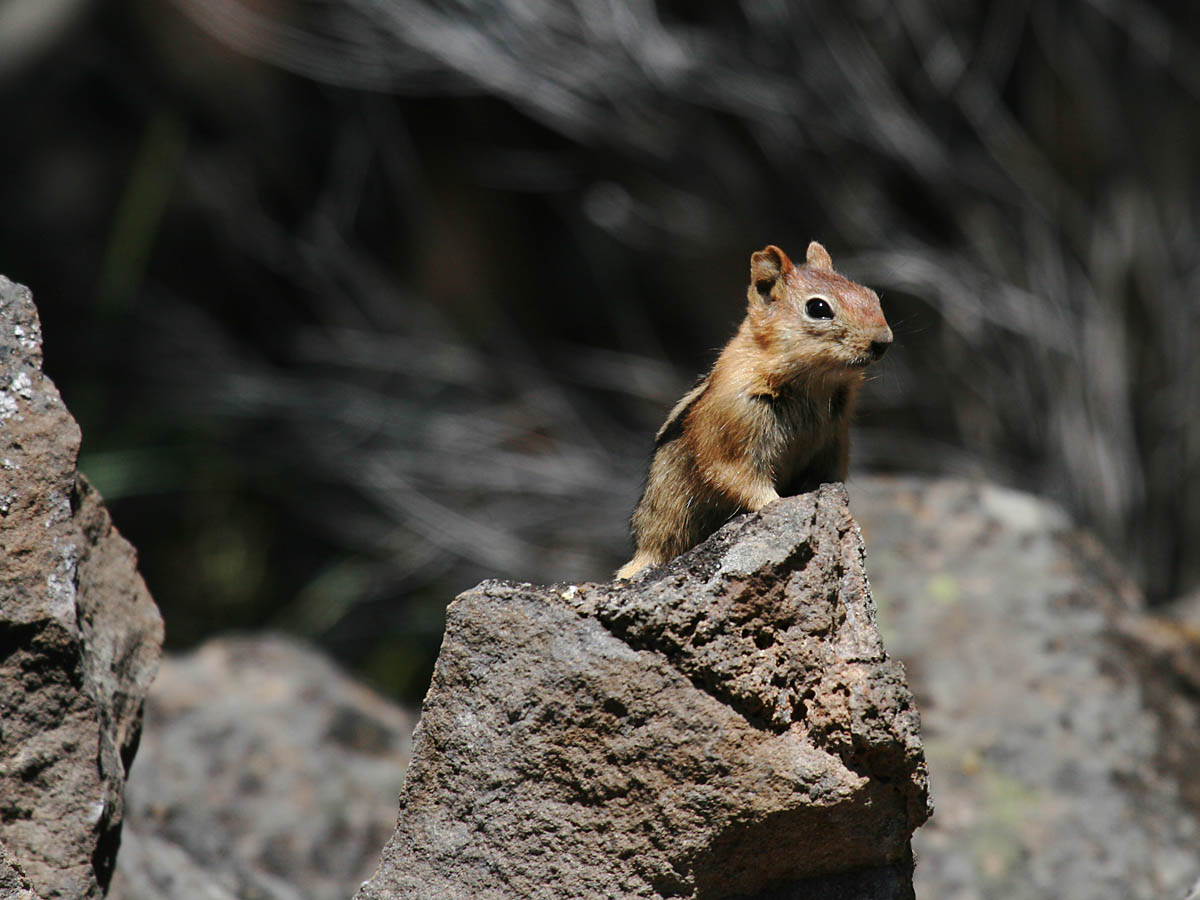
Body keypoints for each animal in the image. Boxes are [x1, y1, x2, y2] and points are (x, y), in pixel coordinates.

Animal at [619, 240, 892, 578]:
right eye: (818, 308)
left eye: (870, 294)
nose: (883, 341)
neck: (813, 384)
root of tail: (643, 549)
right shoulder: (733, 431)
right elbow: (738, 477)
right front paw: (773, 504)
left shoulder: (836, 440)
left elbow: (829, 477)